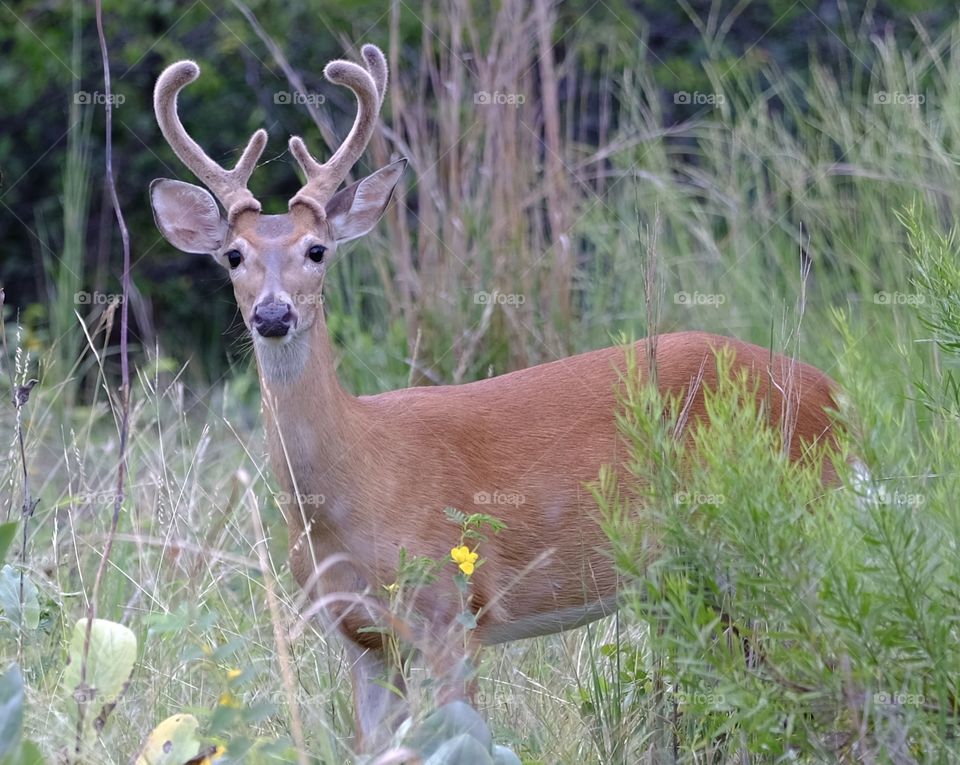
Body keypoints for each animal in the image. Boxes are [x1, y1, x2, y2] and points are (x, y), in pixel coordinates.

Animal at [148, 43, 840, 752]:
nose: (273, 314)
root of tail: (830, 390)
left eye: (317, 250)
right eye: (234, 255)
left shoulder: (450, 609)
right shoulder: (360, 638)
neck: (355, 482)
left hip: (794, 525)